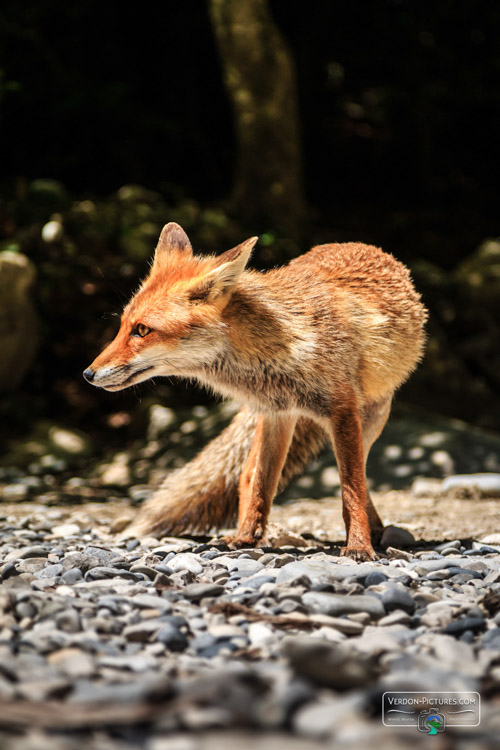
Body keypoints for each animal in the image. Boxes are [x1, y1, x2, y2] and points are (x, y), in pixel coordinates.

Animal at [84, 226, 428, 560]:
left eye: (142, 330)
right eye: (123, 326)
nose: (88, 374)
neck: (287, 344)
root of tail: (357, 244)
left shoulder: (341, 411)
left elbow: (351, 489)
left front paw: (358, 545)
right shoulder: (277, 414)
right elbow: (262, 482)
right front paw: (246, 538)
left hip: (372, 419)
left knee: (361, 474)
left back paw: (375, 529)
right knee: (247, 473)